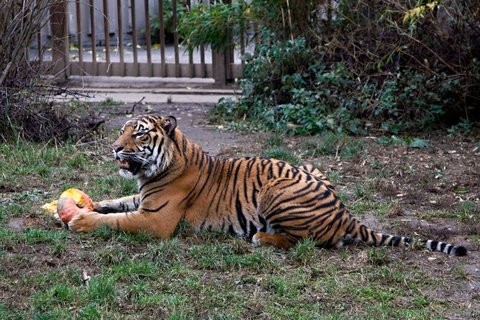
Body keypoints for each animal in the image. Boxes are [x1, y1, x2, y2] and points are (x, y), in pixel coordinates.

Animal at [68, 114, 468, 256]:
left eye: (138, 133)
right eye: (122, 129)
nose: (113, 147)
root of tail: (346, 213)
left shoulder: (155, 220)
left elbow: (116, 221)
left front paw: (81, 220)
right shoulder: (141, 198)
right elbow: (118, 202)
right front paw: (88, 204)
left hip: (277, 189)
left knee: (312, 241)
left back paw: (262, 238)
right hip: (310, 168)